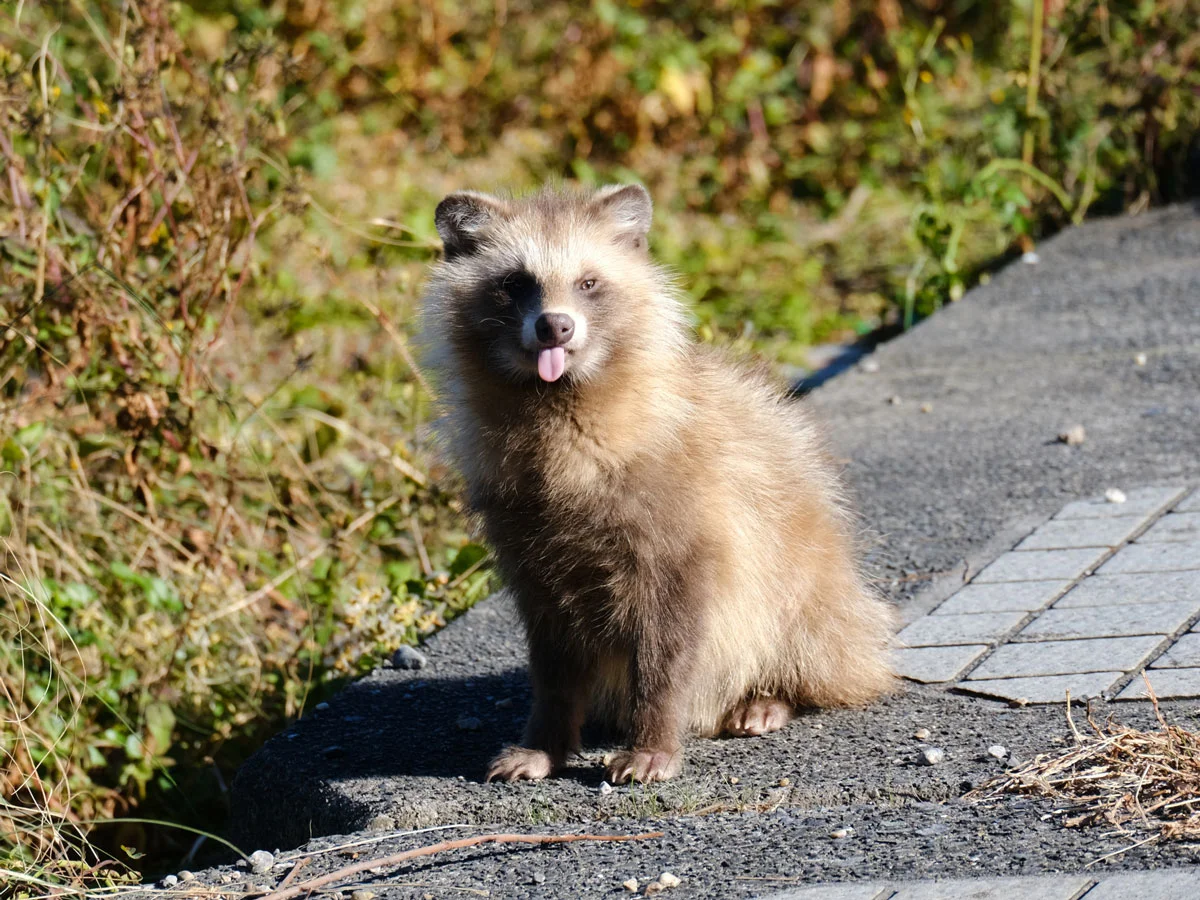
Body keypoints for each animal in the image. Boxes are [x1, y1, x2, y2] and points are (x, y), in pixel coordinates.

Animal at [420, 183, 892, 782]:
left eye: (589, 282)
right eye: (515, 283)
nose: (555, 326)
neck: (557, 402)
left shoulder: (681, 517)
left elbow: (669, 645)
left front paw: (654, 740)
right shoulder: (527, 536)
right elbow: (551, 658)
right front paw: (545, 739)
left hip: (811, 581)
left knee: (801, 632)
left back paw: (771, 694)